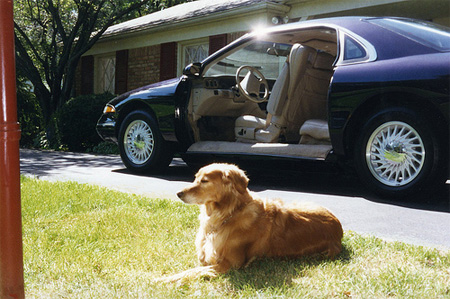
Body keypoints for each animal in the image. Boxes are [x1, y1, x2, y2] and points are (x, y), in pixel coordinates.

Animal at [161, 163, 342, 282]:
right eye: (195, 178)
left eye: (204, 181)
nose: (178, 193)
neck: (228, 214)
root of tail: (338, 227)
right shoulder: (206, 256)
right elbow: (193, 267)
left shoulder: (230, 264)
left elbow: (190, 271)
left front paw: (163, 280)